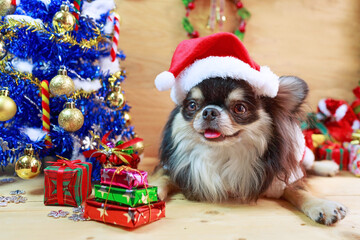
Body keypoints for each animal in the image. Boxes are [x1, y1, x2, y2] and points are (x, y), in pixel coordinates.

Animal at [153, 76, 348, 226]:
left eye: (240, 108)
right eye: (192, 105)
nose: (209, 111)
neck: (221, 154)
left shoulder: (280, 177)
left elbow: (299, 191)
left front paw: (322, 206)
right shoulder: (176, 168)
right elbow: (162, 178)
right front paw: (149, 192)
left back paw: (327, 166)